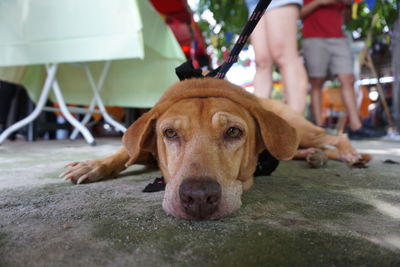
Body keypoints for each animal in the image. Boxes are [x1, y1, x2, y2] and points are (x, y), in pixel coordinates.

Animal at [61, 78, 370, 221]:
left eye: (233, 132)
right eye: (169, 133)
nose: (198, 197)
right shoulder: (142, 147)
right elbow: (124, 153)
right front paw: (94, 165)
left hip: (300, 130)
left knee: (336, 137)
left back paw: (351, 155)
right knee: (300, 150)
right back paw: (316, 156)